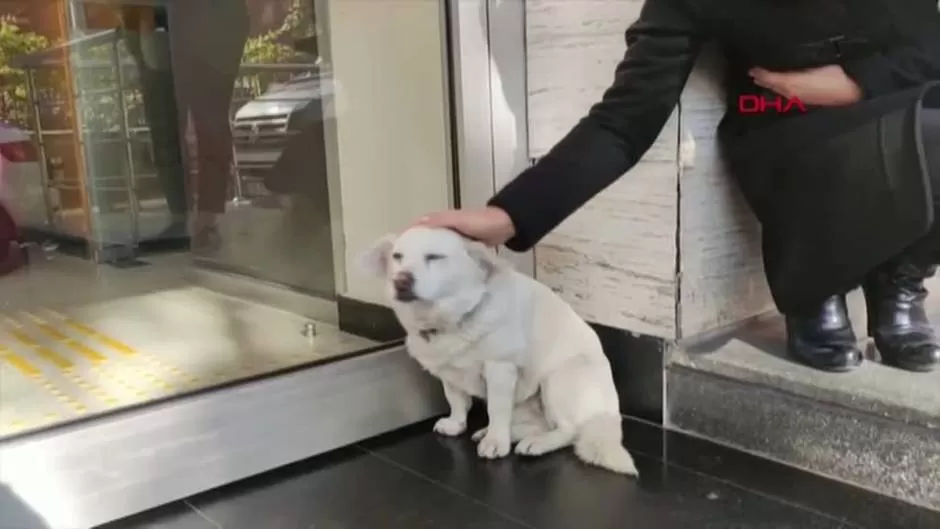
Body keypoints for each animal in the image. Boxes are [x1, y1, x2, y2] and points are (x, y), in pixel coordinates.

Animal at [360, 227, 640, 474]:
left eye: (434, 257)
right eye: (397, 257)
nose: (400, 281)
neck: (451, 320)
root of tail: (608, 415)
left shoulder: (499, 369)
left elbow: (496, 409)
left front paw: (496, 442)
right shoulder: (448, 372)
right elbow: (456, 401)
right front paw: (457, 424)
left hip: (557, 381)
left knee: (568, 431)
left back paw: (534, 443)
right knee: (536, 425)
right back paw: (503, 434)